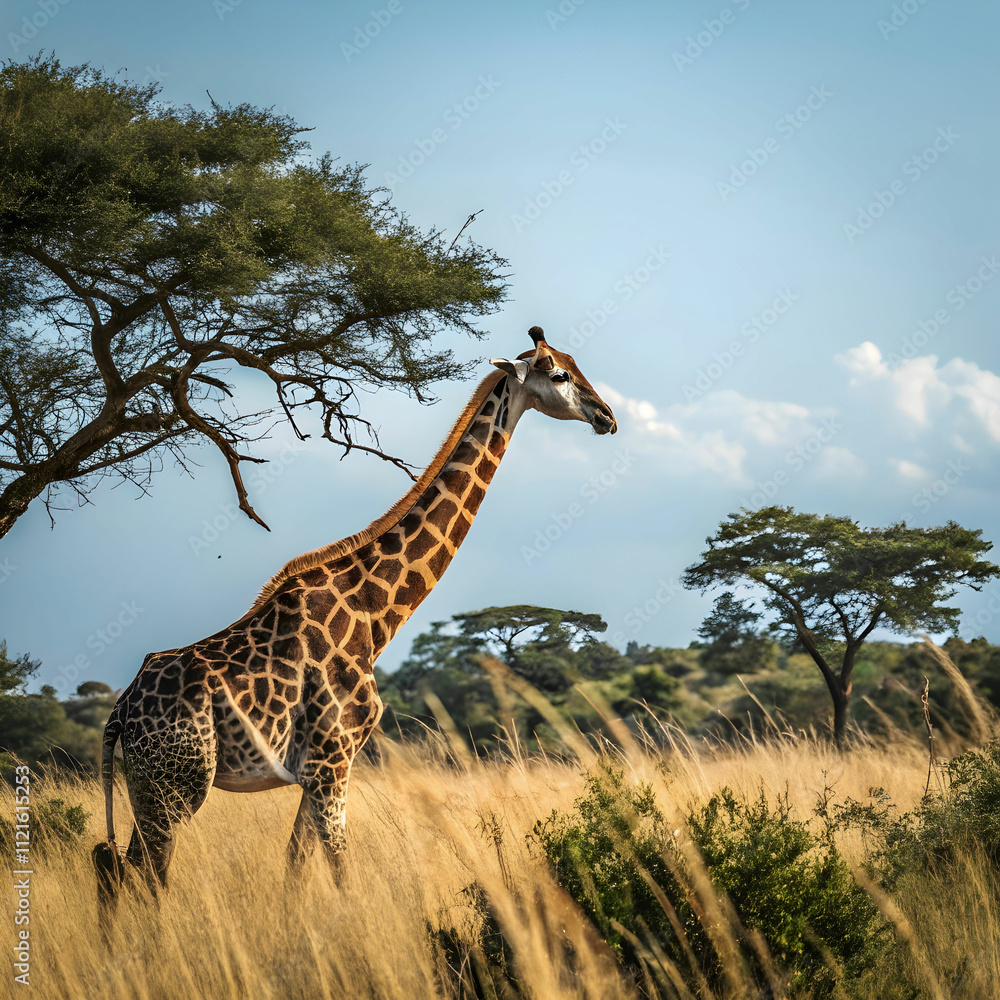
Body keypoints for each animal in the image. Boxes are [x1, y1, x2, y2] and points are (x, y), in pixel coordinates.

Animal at [92, 326, 617, 900]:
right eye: (558, 374)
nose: (607, 416)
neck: (373, 613)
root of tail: (120, 713)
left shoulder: (318, 767)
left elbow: (296, 864)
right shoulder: (332, 759)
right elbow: (340, 868)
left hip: (148, 784)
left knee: (116, 868)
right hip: (176, 783)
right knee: (144, 874)